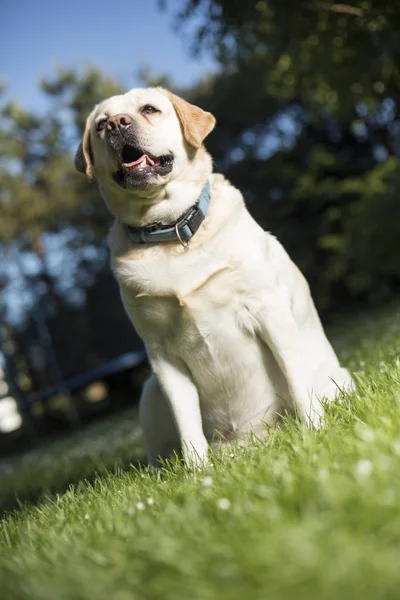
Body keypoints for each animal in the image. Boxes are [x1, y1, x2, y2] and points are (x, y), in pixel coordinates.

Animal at [75, 86, 354, 466]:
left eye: (149, 109)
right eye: (101, 125)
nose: (118, 124)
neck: (171, 231)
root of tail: (249, 442)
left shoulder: (269, 312)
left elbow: (297, 381)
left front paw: (314, 432)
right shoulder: (161, 353)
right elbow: (188, 425)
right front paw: (197, 472)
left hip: (338, 379)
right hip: (151, 391)